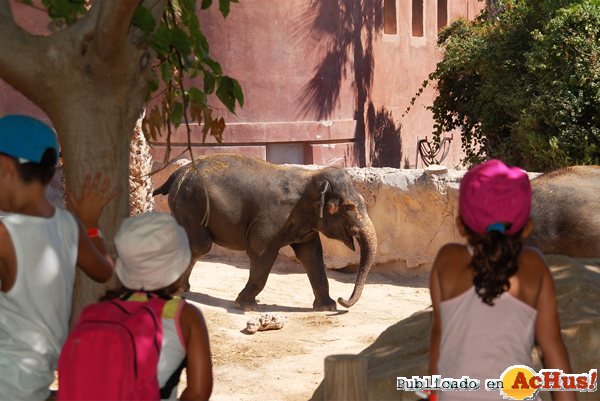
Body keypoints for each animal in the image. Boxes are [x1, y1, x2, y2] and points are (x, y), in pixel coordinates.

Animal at [154, 152, 380, 310]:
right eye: (348, 207)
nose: (343, 300)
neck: (310, 178)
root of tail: (178, 172)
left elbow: (312, 255)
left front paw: (327, 307)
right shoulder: (273, 218)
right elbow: (262, 253)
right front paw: (246, 306)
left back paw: (181, 288)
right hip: (188, 202)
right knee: (200, 245)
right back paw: (177, 289)